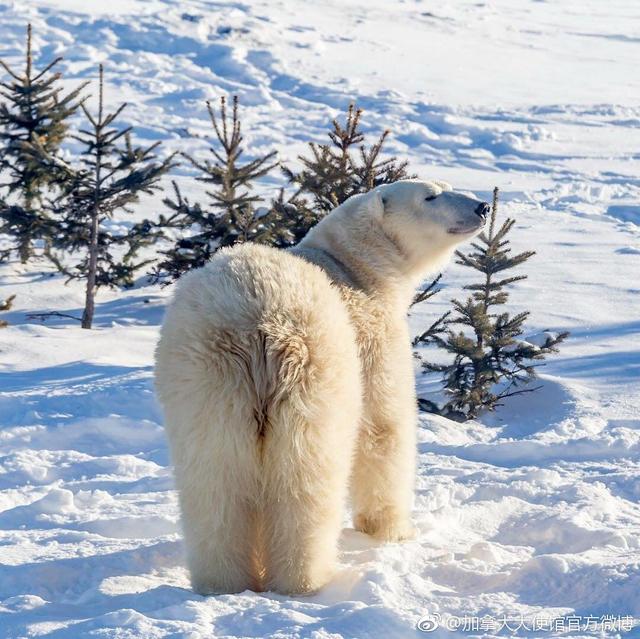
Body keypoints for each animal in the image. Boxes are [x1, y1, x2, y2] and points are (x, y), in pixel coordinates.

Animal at [156, 179, 490, 596]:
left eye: (446, 186)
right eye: (430, 196)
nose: (482, 207)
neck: (355, 266)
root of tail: (256, 325)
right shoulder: (372, 338)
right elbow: (382, 429)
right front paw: (392, 531)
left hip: (205, 381)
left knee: (214, 478)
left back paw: (221, 582)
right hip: (312, 371)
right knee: (306, 477)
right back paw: (306, 579)